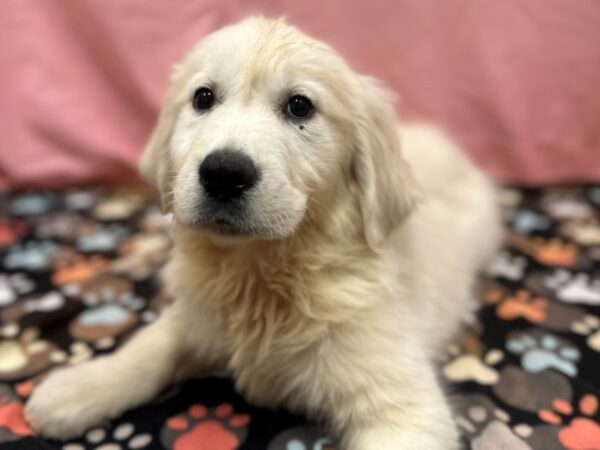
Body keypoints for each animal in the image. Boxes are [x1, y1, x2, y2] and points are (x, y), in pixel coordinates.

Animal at [24, 15, 502, 448]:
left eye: (300, 106)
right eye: (203, 98)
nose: (223, 173)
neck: (263, 269)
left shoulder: (400, 402)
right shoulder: (198, 316)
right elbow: (148, 346)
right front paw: (75, 388)